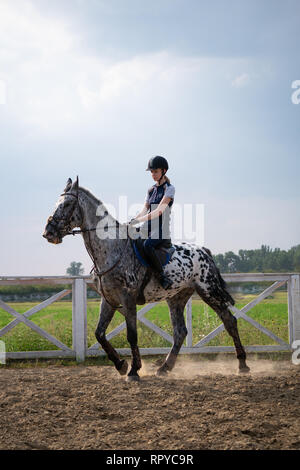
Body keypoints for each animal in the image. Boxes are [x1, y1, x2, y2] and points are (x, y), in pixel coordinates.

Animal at [41, 177, 248, 382]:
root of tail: (204, 250)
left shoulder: (128, 298)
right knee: (180, 332)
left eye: (67, 204)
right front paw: (121, 365)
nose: (48, 233)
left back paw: (243, 365)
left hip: (208, 291)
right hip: (177, 298)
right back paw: (165, 367)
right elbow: (99, 334)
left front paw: (134, 370)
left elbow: (132, 335)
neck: (111, 250)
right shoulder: (108, 299)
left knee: (229, 321)